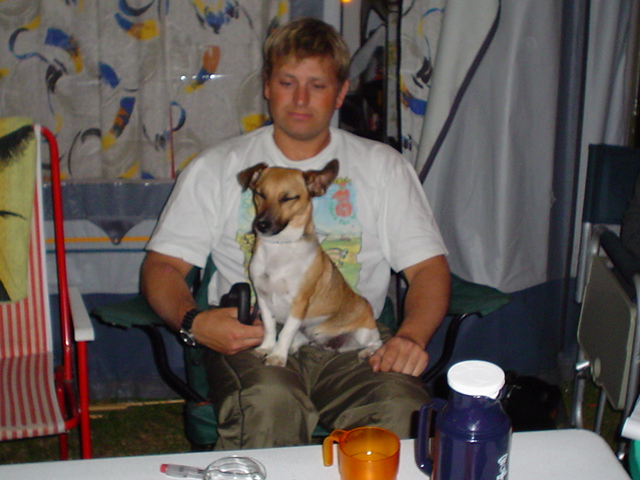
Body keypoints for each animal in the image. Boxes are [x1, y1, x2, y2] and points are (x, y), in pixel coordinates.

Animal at [237, 159, 382, 367]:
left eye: (288, 198)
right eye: (260, 193)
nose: (261, 225)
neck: (279, 247)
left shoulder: (299, 304)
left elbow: (285, 333)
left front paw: (277, 355)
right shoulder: (263, 299)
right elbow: (270, 328)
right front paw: (266, 347)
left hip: (364, 333)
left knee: (377, 343)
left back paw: (366, 352)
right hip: (310, 331)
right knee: (301, 338)